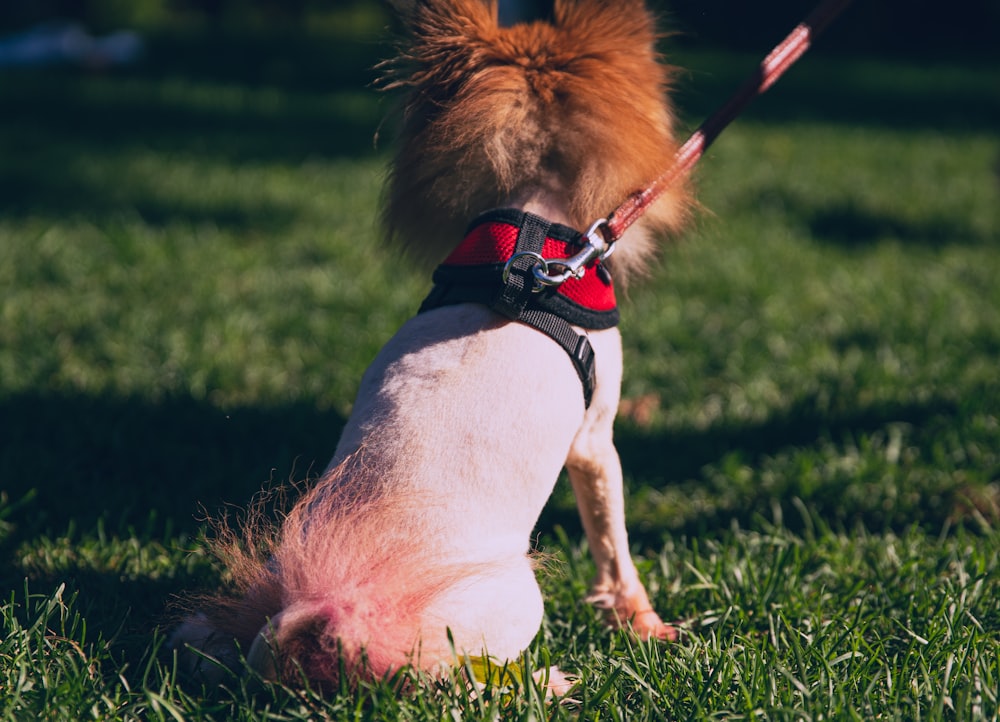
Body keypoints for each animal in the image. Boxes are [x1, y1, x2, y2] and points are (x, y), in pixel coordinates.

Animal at [170, 0, 688, 692]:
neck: (533, 239)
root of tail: (338, 607)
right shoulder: (594, 442)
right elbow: (614, 547)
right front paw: (641, 622)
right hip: (513, 602)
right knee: (450, 684)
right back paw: (546, 684)